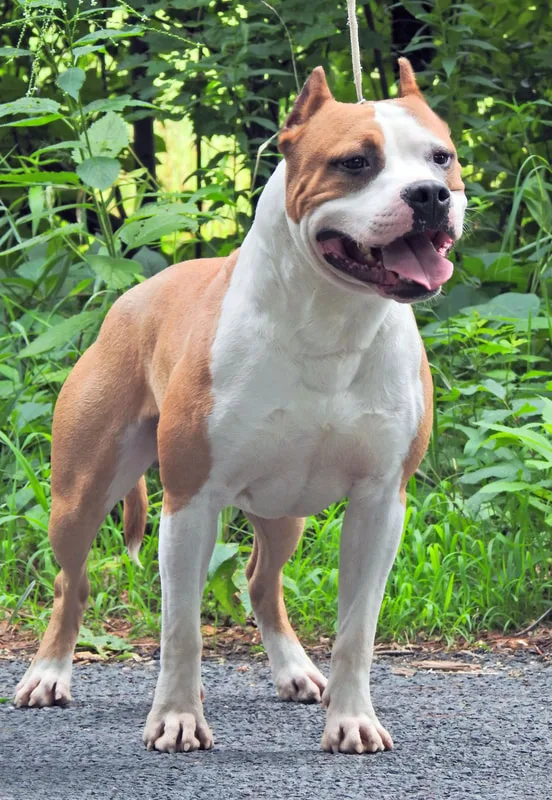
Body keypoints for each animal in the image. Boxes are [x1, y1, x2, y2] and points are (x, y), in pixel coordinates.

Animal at [14, 59, 466, 754]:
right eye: (355, 162)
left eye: (441, 157)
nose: (429, 196)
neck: (330, 322)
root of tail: (132, 296)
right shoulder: (190, 501)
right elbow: (181, 629)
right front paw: (176, 718)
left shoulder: (379, 503)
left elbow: (357, 630)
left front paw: (352, 719)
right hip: (80, 493)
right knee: (72, 580)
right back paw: (48, 674)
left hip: (285, 513)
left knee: (260, 580)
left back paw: (296, 670)